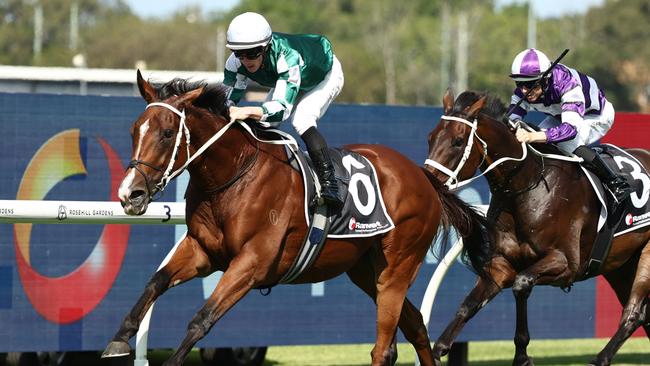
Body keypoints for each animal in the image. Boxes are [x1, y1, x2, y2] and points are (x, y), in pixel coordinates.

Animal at [100, 72, 486, 366]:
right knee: (415, 325)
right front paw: (118, 340)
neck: (234, 174)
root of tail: (424, 177)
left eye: (167, 133)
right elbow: (155, 282)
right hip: (365, 270)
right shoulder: (202, 251)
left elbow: (201, 320)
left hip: (399, 265)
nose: (131, 194)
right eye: (135, 130)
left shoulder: (252, 263)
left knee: (383, 346)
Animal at [422, 88, 648, 366]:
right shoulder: (501, 264)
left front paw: (522, 355)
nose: (428, 180)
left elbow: (521, 284)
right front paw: (437, 350)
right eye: (431, 137)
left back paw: (600, 358)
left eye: (457, 140)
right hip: (620, 265)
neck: (528, 185)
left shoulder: (566, 264)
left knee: (634, 314)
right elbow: (467, 305)